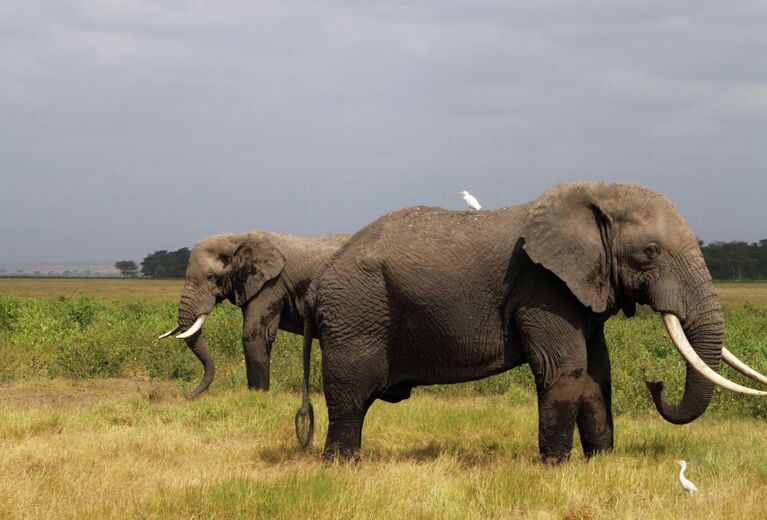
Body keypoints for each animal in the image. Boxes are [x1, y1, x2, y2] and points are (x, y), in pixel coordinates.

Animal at [158, 230, 348, 396]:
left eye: (211, 277)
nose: (189, 395)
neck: (236, 239)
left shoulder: (270, 284)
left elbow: (254, 334)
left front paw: (258, 394)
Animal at [294, 183, 767, 464]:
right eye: (649, 252)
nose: (656, 384)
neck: (595, 195)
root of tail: (318, 284)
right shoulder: (543, 286)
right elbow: (566, 370)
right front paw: (556, 467)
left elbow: (597, 373)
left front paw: (601, 463)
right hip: (356, 313)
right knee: (351, 395)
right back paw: (342, 467)